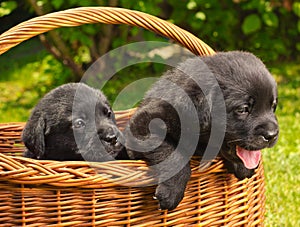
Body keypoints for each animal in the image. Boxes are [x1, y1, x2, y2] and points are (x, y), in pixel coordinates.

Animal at [125, 50, 278, 210]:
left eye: (273, 106)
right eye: (243, 109)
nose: (272, 135)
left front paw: (243, 167)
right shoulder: (143, 123)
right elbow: (173, 154)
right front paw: (172, 191)